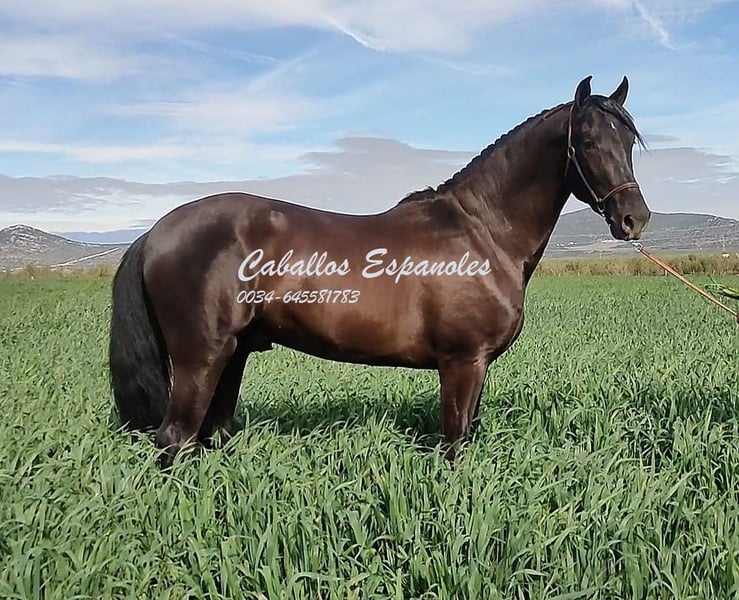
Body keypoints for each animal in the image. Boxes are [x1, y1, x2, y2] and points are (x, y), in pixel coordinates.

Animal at [109, 75, 651, 467]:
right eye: (587, 140)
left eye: (628, 138)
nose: (635, 218)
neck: (482, 232)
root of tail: (155, 232)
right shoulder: (461, 363)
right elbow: (454, 445)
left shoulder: (477, 367)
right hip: (200, 358)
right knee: (175, 437)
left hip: (233, 353)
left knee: (210, 433)